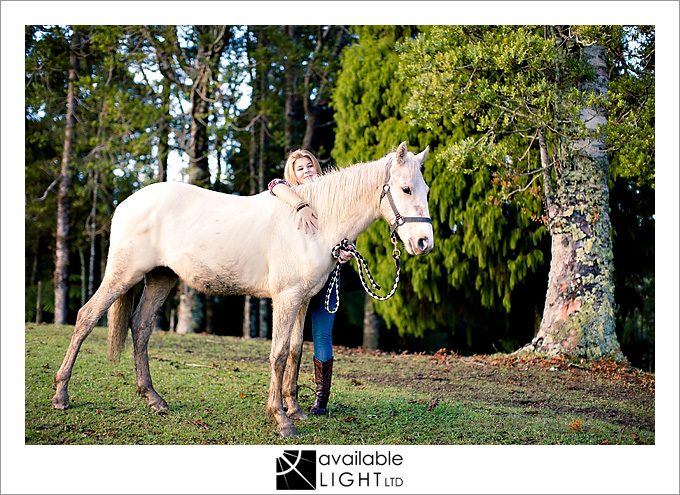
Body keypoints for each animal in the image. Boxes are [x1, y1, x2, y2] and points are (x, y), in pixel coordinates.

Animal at [53, 140, 436, 438]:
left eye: (427, 190)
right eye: (405, 189)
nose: (423, 243)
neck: (314, 221)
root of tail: (127, 202)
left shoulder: (301, 300)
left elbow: (295, 350)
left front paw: (295, 408)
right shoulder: (286, 298)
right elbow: (278, 354)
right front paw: (281, 419)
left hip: (162, 277)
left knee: (141, 327)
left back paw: (153, 399)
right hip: (124, 274)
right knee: (87, 317)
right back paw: (61, 395)